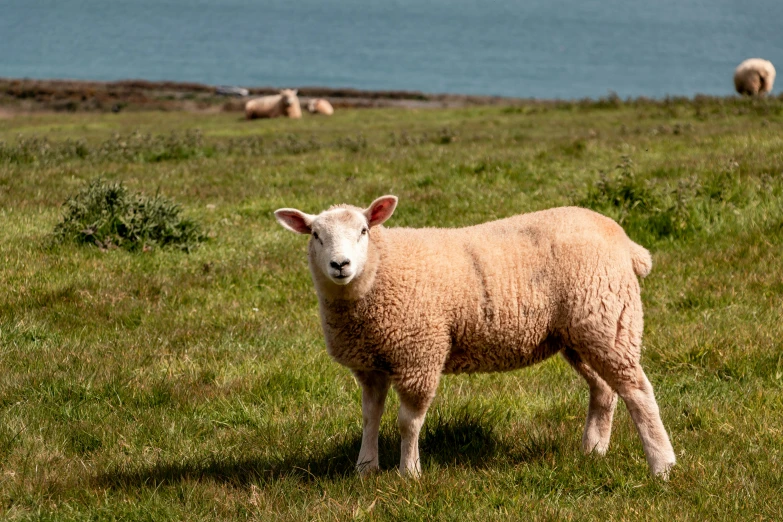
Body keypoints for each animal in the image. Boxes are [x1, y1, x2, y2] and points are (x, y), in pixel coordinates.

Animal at [274, 197, 672, 478]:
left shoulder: (420, 355)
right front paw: (365, 468)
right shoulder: (371, 364)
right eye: (315, 235)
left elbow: (407, 422)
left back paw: (661, 465)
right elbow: (370, 417)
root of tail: (626, 242)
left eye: (363, 231)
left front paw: (409, 473)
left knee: (638, 391)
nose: (340, 265)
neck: (380, 273)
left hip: (608, 319)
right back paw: (593, 451)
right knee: (604, 389)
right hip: (577, 333)